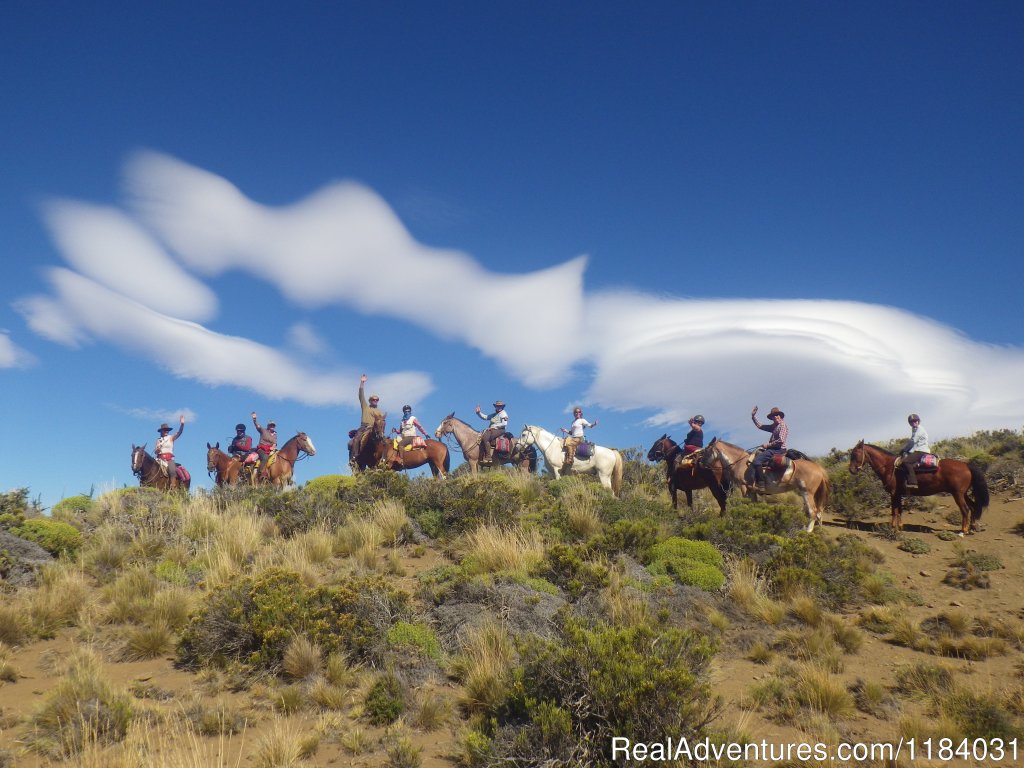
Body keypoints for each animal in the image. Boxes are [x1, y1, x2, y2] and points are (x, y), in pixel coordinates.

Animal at [843, 442, 987, 536]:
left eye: (855, 454)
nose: (851, 470)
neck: (889, 467)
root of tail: (966, 465)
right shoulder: (898, 494)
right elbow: (899, 510)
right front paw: (899, 527)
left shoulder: (894, 494)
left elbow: (894, 510)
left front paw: (893, 528)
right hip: (964, 493)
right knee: (973, 507)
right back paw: (972, 528)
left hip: (958, 494)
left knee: (965, 510)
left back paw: (963, 531)